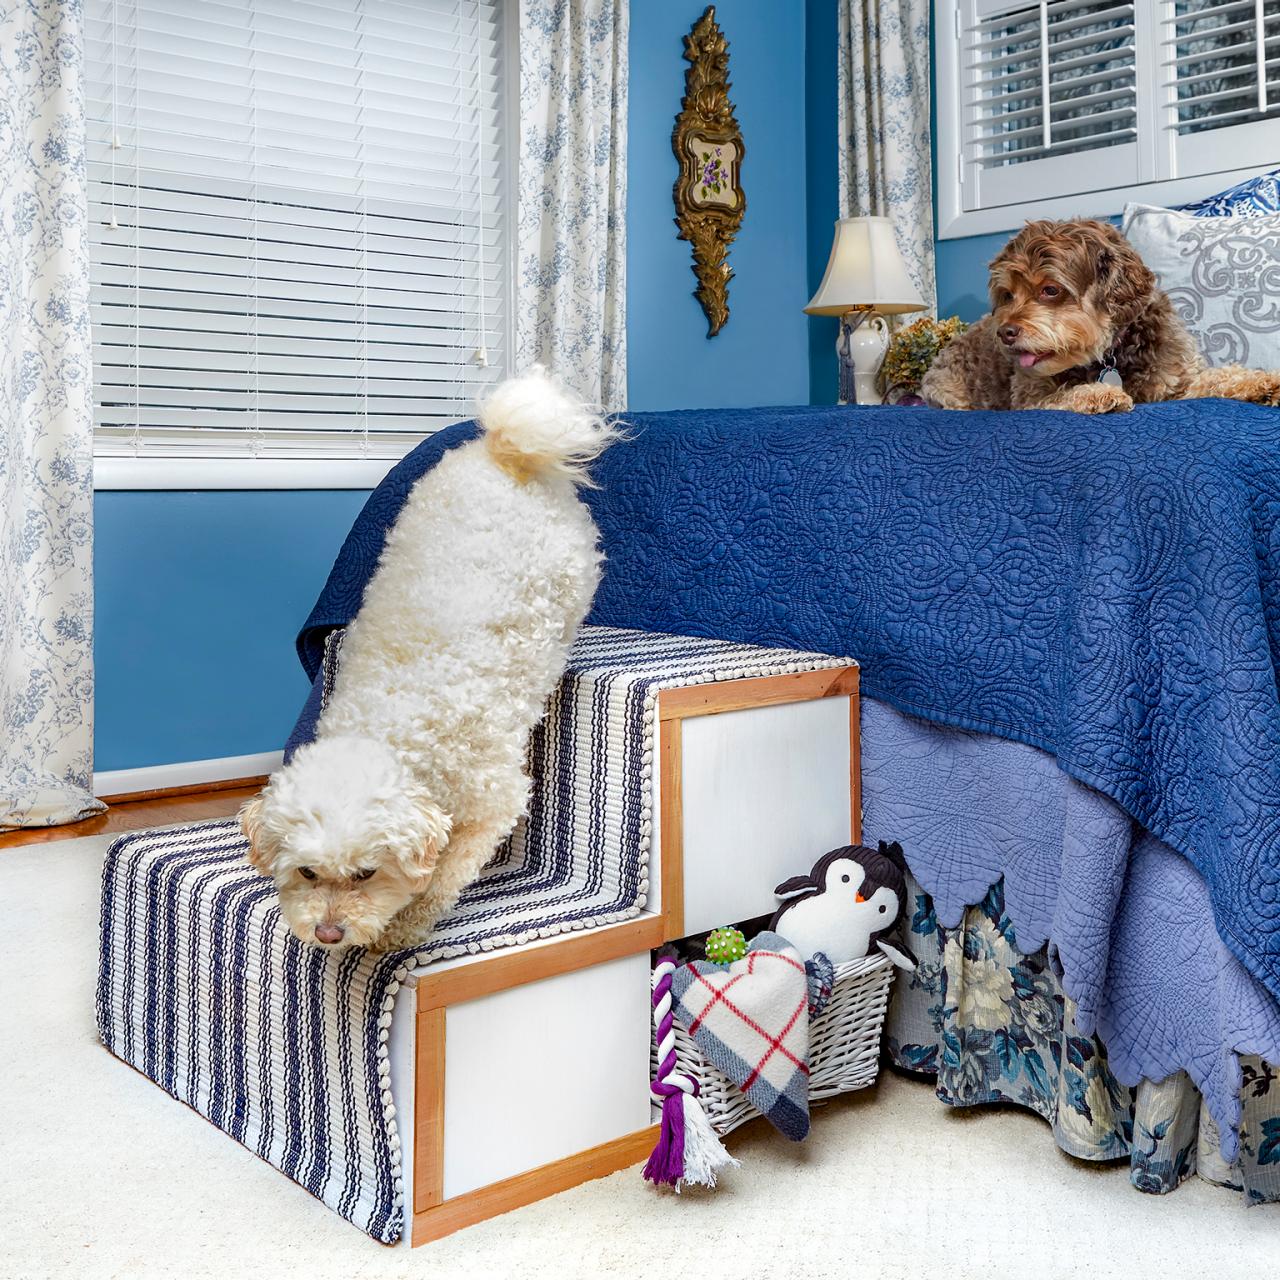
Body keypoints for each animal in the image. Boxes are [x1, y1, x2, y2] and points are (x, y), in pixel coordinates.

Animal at [921, 220, 1280, 414]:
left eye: (1050, 290)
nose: (1005, 333)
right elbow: (1065, 395)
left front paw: (1261, 382)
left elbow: (1219, 377)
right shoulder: (1029, 397)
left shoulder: (1175, 382)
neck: (1113, 351)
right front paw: (1099, 394)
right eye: (1008, 294)